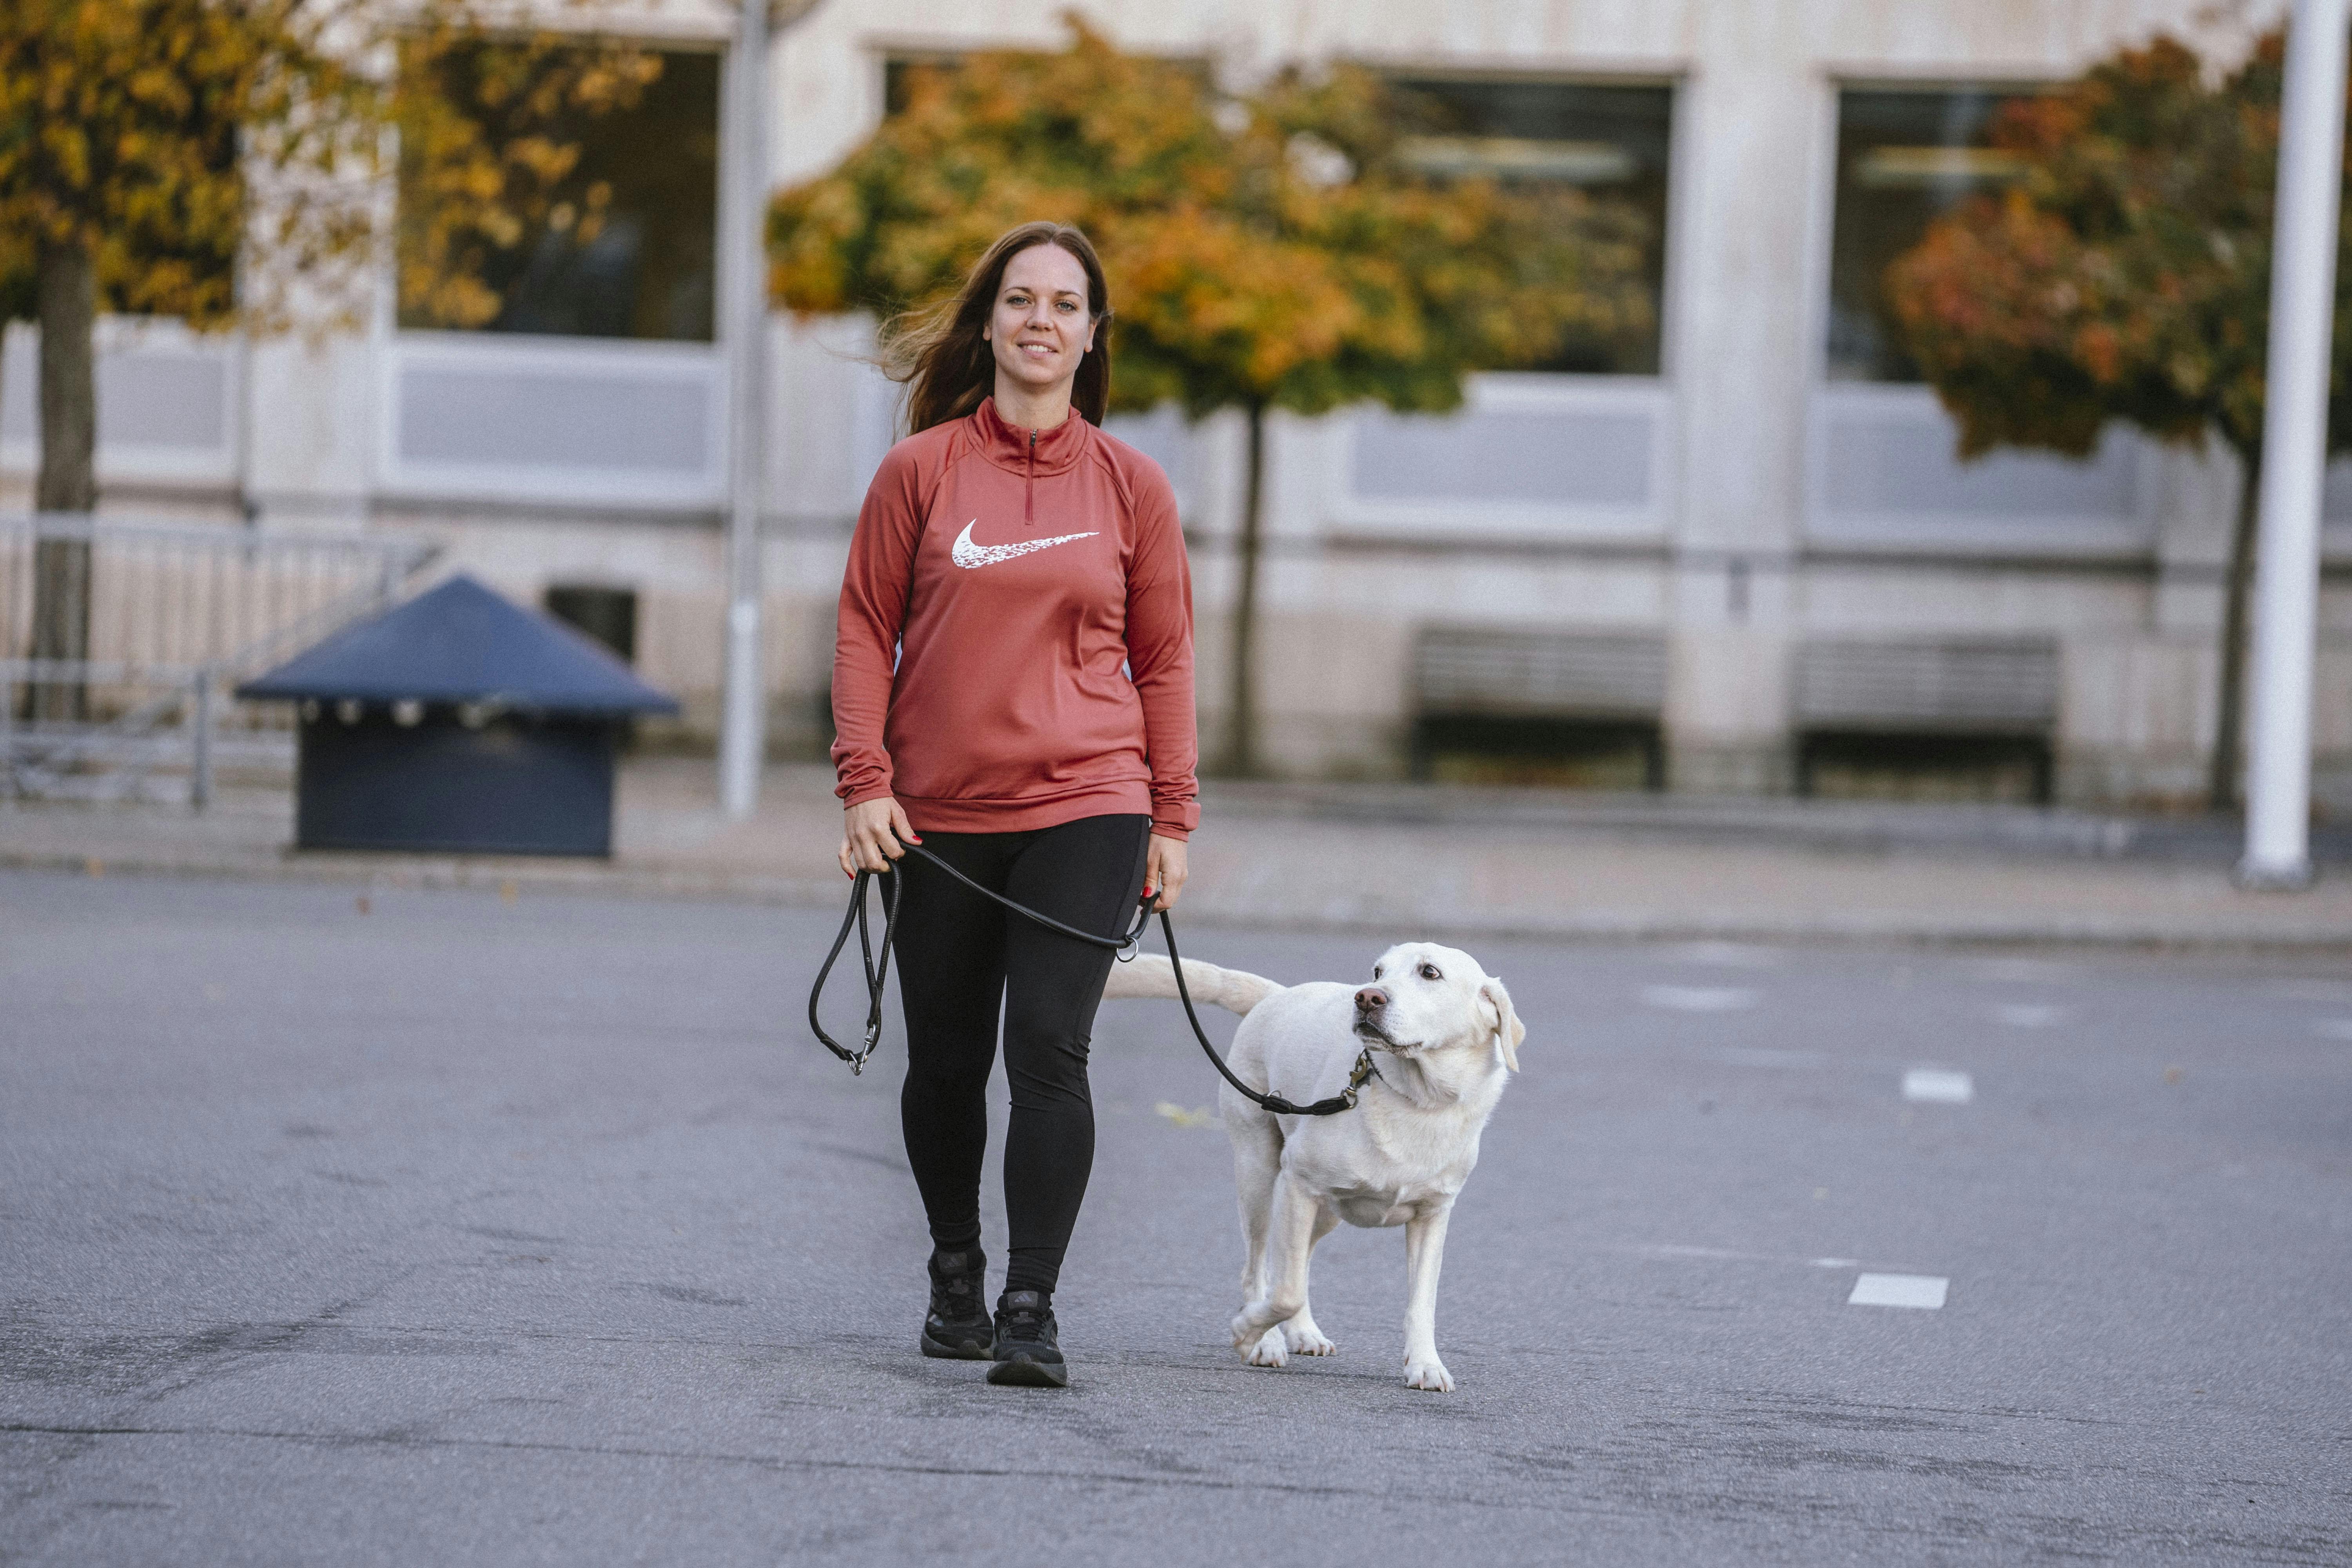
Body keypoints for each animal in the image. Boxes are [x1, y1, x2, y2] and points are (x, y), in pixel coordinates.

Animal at [1101, 940, 1524, 1392]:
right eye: (1377, 971)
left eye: (1430, 973)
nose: (1366, 997)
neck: (1418, 1100)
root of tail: (1277, 994)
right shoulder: (1297, 1184)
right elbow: (1286, 1290)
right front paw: (1247, 1334)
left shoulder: (1433, 1215)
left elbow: (1421, 1301)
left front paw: (1425, 1365)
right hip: (1259, 1178)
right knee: (1260, 1268)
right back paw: (1266, 1340)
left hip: (1326, 1213)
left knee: (1299, 1260)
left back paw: (1304, 1333)